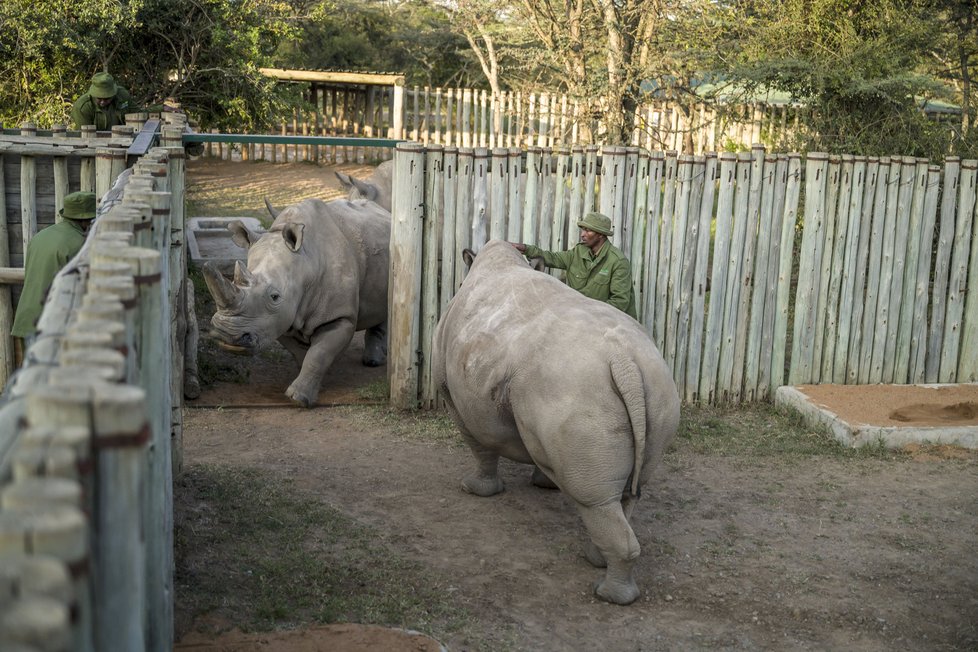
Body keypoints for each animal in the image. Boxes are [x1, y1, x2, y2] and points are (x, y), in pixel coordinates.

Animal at [202, 196, 388, 404]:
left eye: (274, 297)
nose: (226, 336)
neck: (305, 264)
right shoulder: (281, 318)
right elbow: (302, 352)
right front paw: (305, 375)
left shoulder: (339, 316)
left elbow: (318, 354)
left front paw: (299, 398)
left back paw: (372, 362)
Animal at [434, 239, 680, 608]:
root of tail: (624, 361)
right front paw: (543, 483)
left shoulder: (457, 396)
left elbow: (480, 446)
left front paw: (475, 489)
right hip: (656, 390)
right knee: (629, 491)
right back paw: (599, 560)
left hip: (574, 389)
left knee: (594, 499)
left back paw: (607, 594)